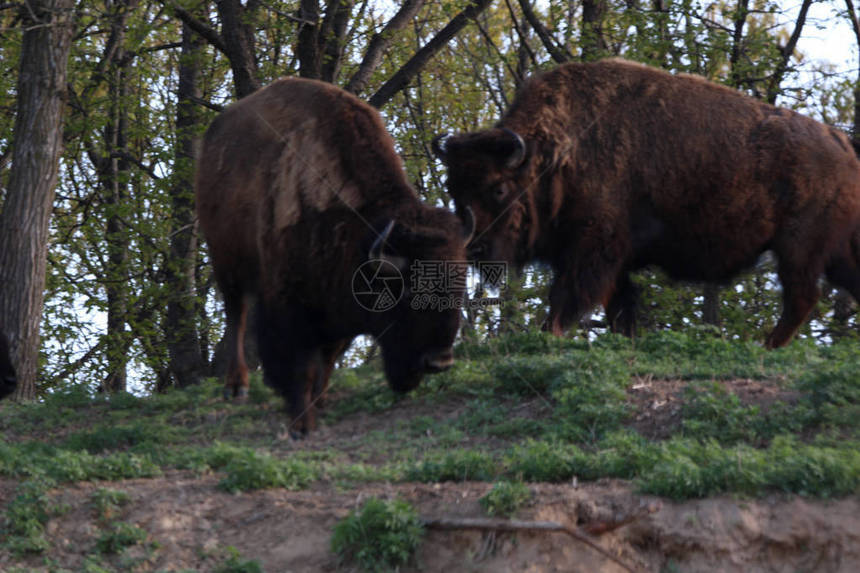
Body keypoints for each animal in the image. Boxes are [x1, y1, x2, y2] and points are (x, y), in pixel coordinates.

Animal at [197, 75, 470, 434]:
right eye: (407, 291)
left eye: (460, 288)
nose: (439, 361)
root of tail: (214, 135)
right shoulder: (290, 301)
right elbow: (301, 362)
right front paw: (302, 421)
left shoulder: (337, 309)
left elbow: (327, 359)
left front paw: (319, 401)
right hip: (226, 259)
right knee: (237, 314)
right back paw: (236, 386)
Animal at [436, 58, 860, 346]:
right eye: (453, 188)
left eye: (498, 188)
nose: (475, 249)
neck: (555, 154)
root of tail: (842, 146)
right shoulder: (610, 261)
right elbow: (619, 309)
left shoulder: (592, 251)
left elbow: (567, 299)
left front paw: (547, 335)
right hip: (834, 253)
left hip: (798, 248)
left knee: (801, 297)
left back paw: (765, 346)